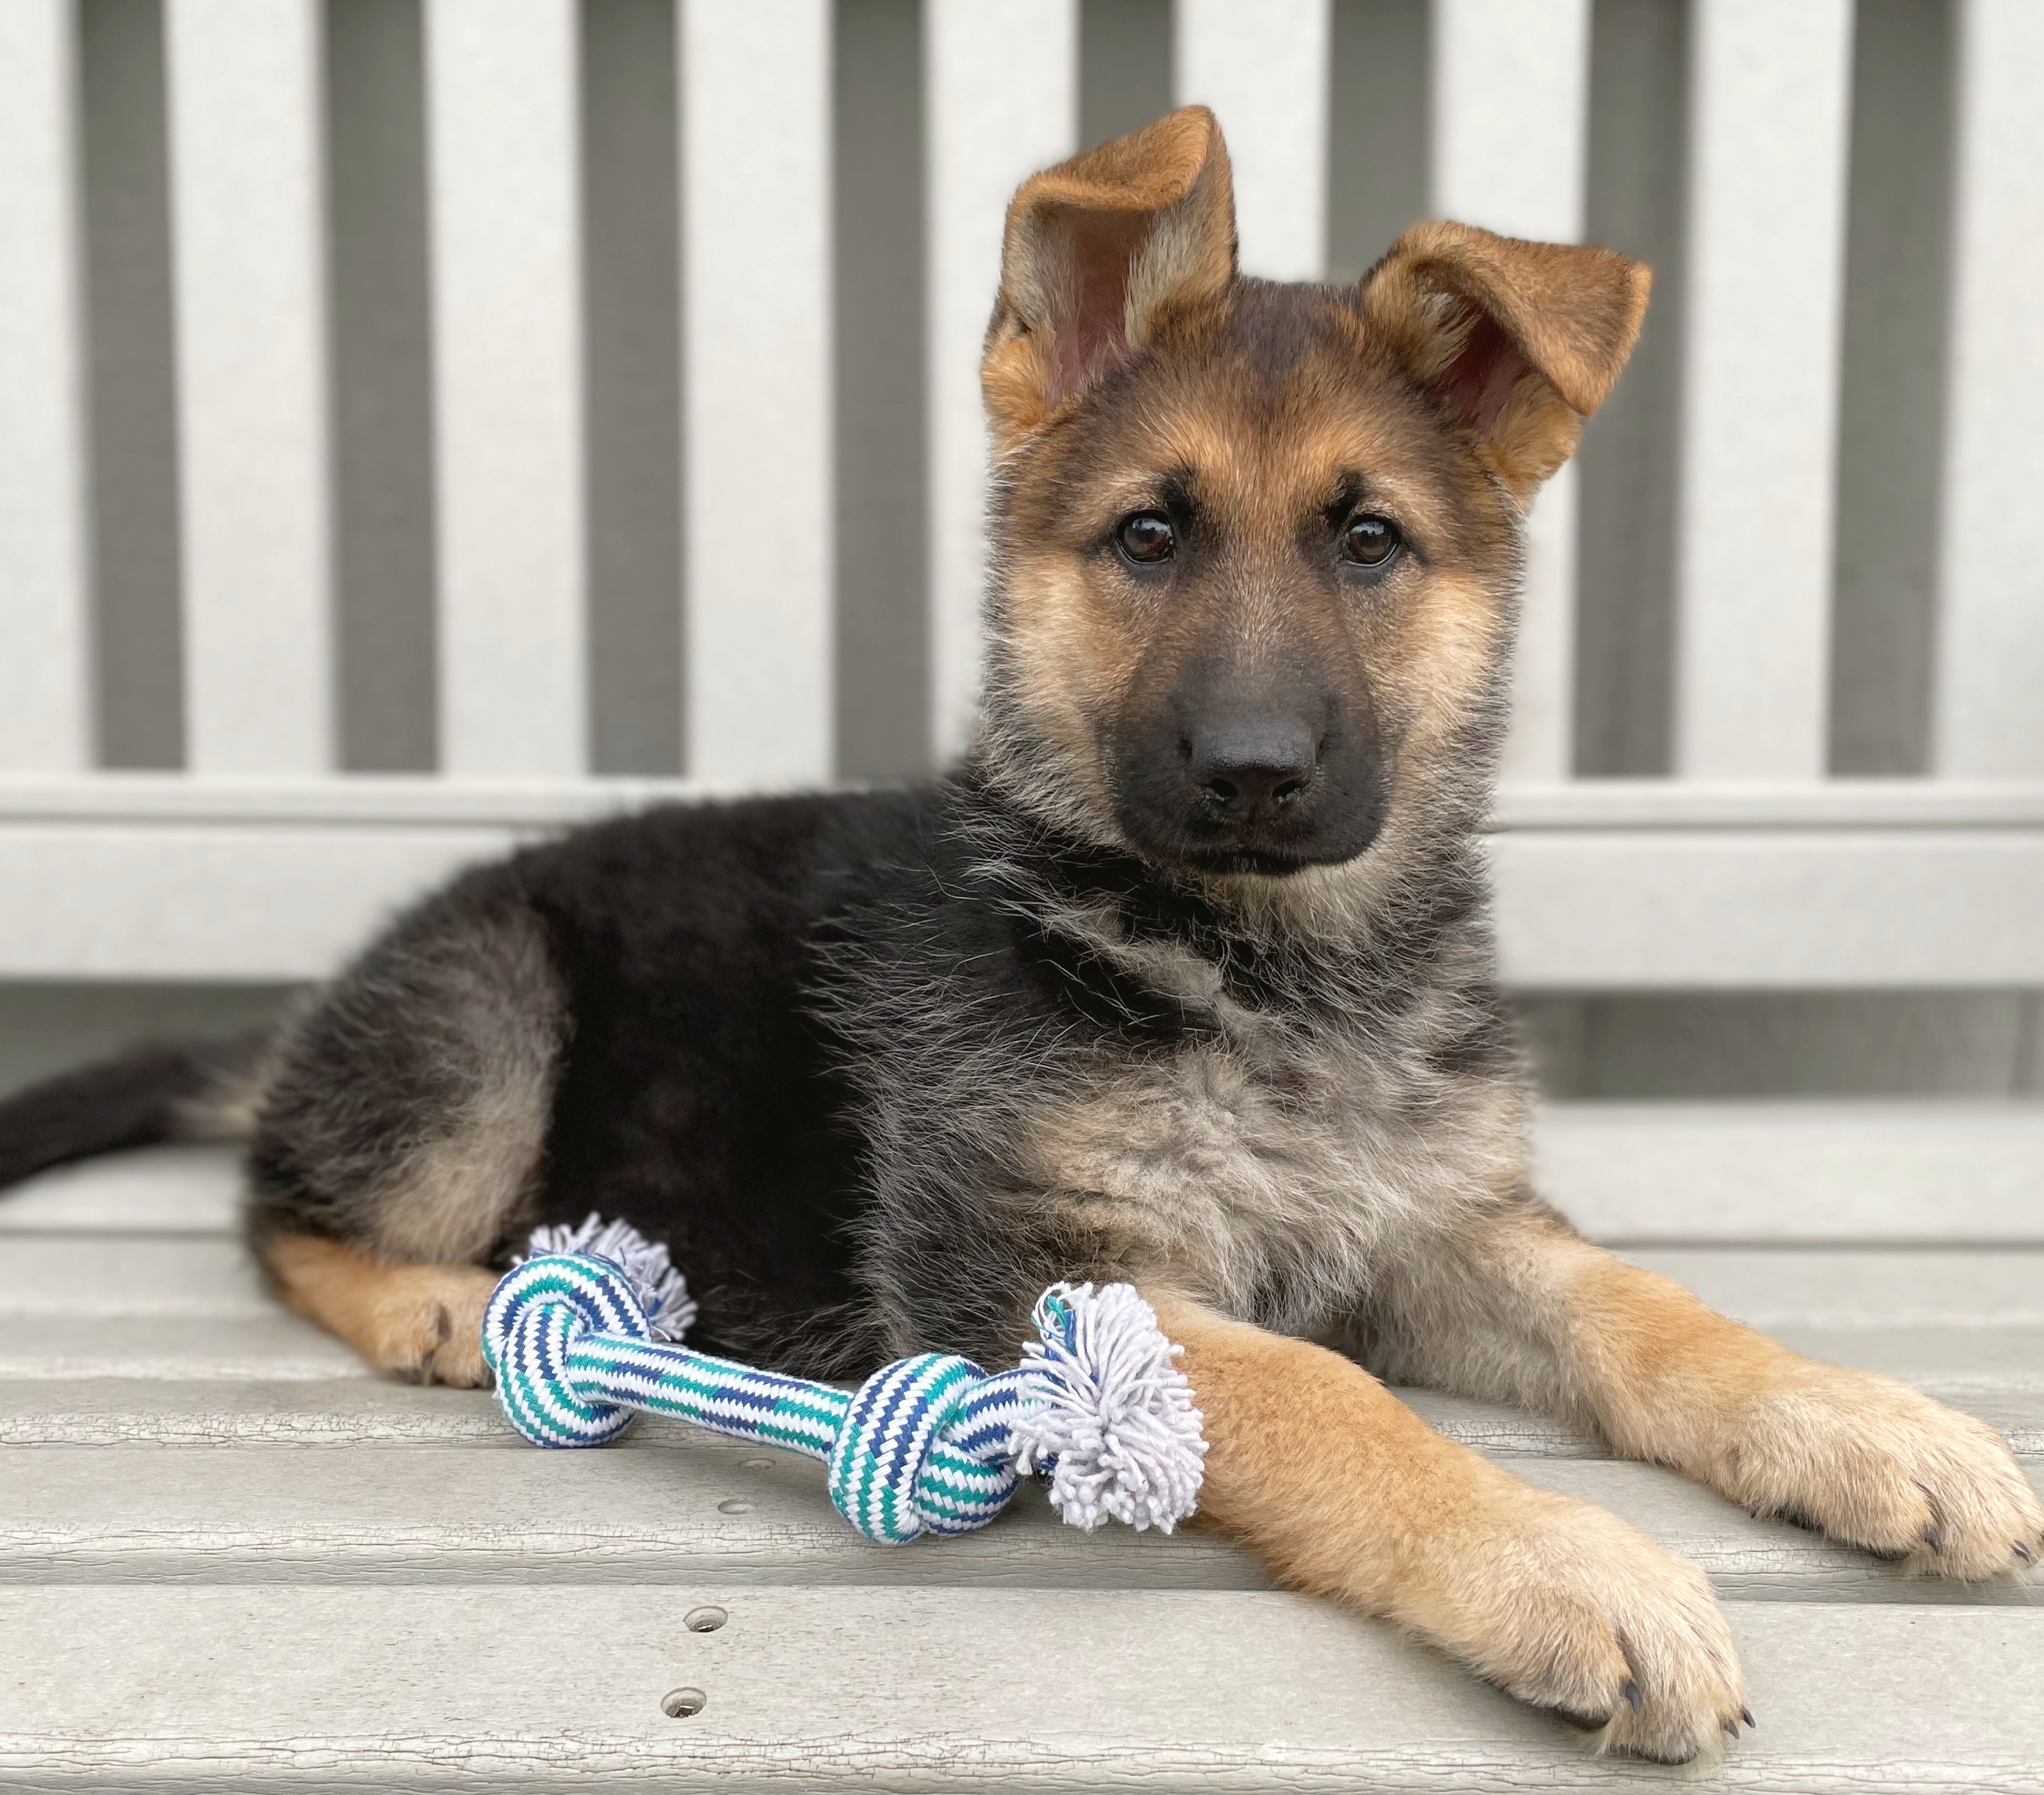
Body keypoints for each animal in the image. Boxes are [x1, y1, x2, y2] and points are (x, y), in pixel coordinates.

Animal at [0, 112, 2036, 1774]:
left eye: (1369, 542)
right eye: (1148, 536)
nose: (1254, 772)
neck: (1260, 965)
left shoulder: (1433, 1222)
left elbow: (1647, 1311)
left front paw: (1863, 1424)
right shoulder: (1042, 1282)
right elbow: (1336, 1400)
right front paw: (1564, 1564)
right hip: (488, 1027)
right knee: (275, 1201)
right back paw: (425, 1299)